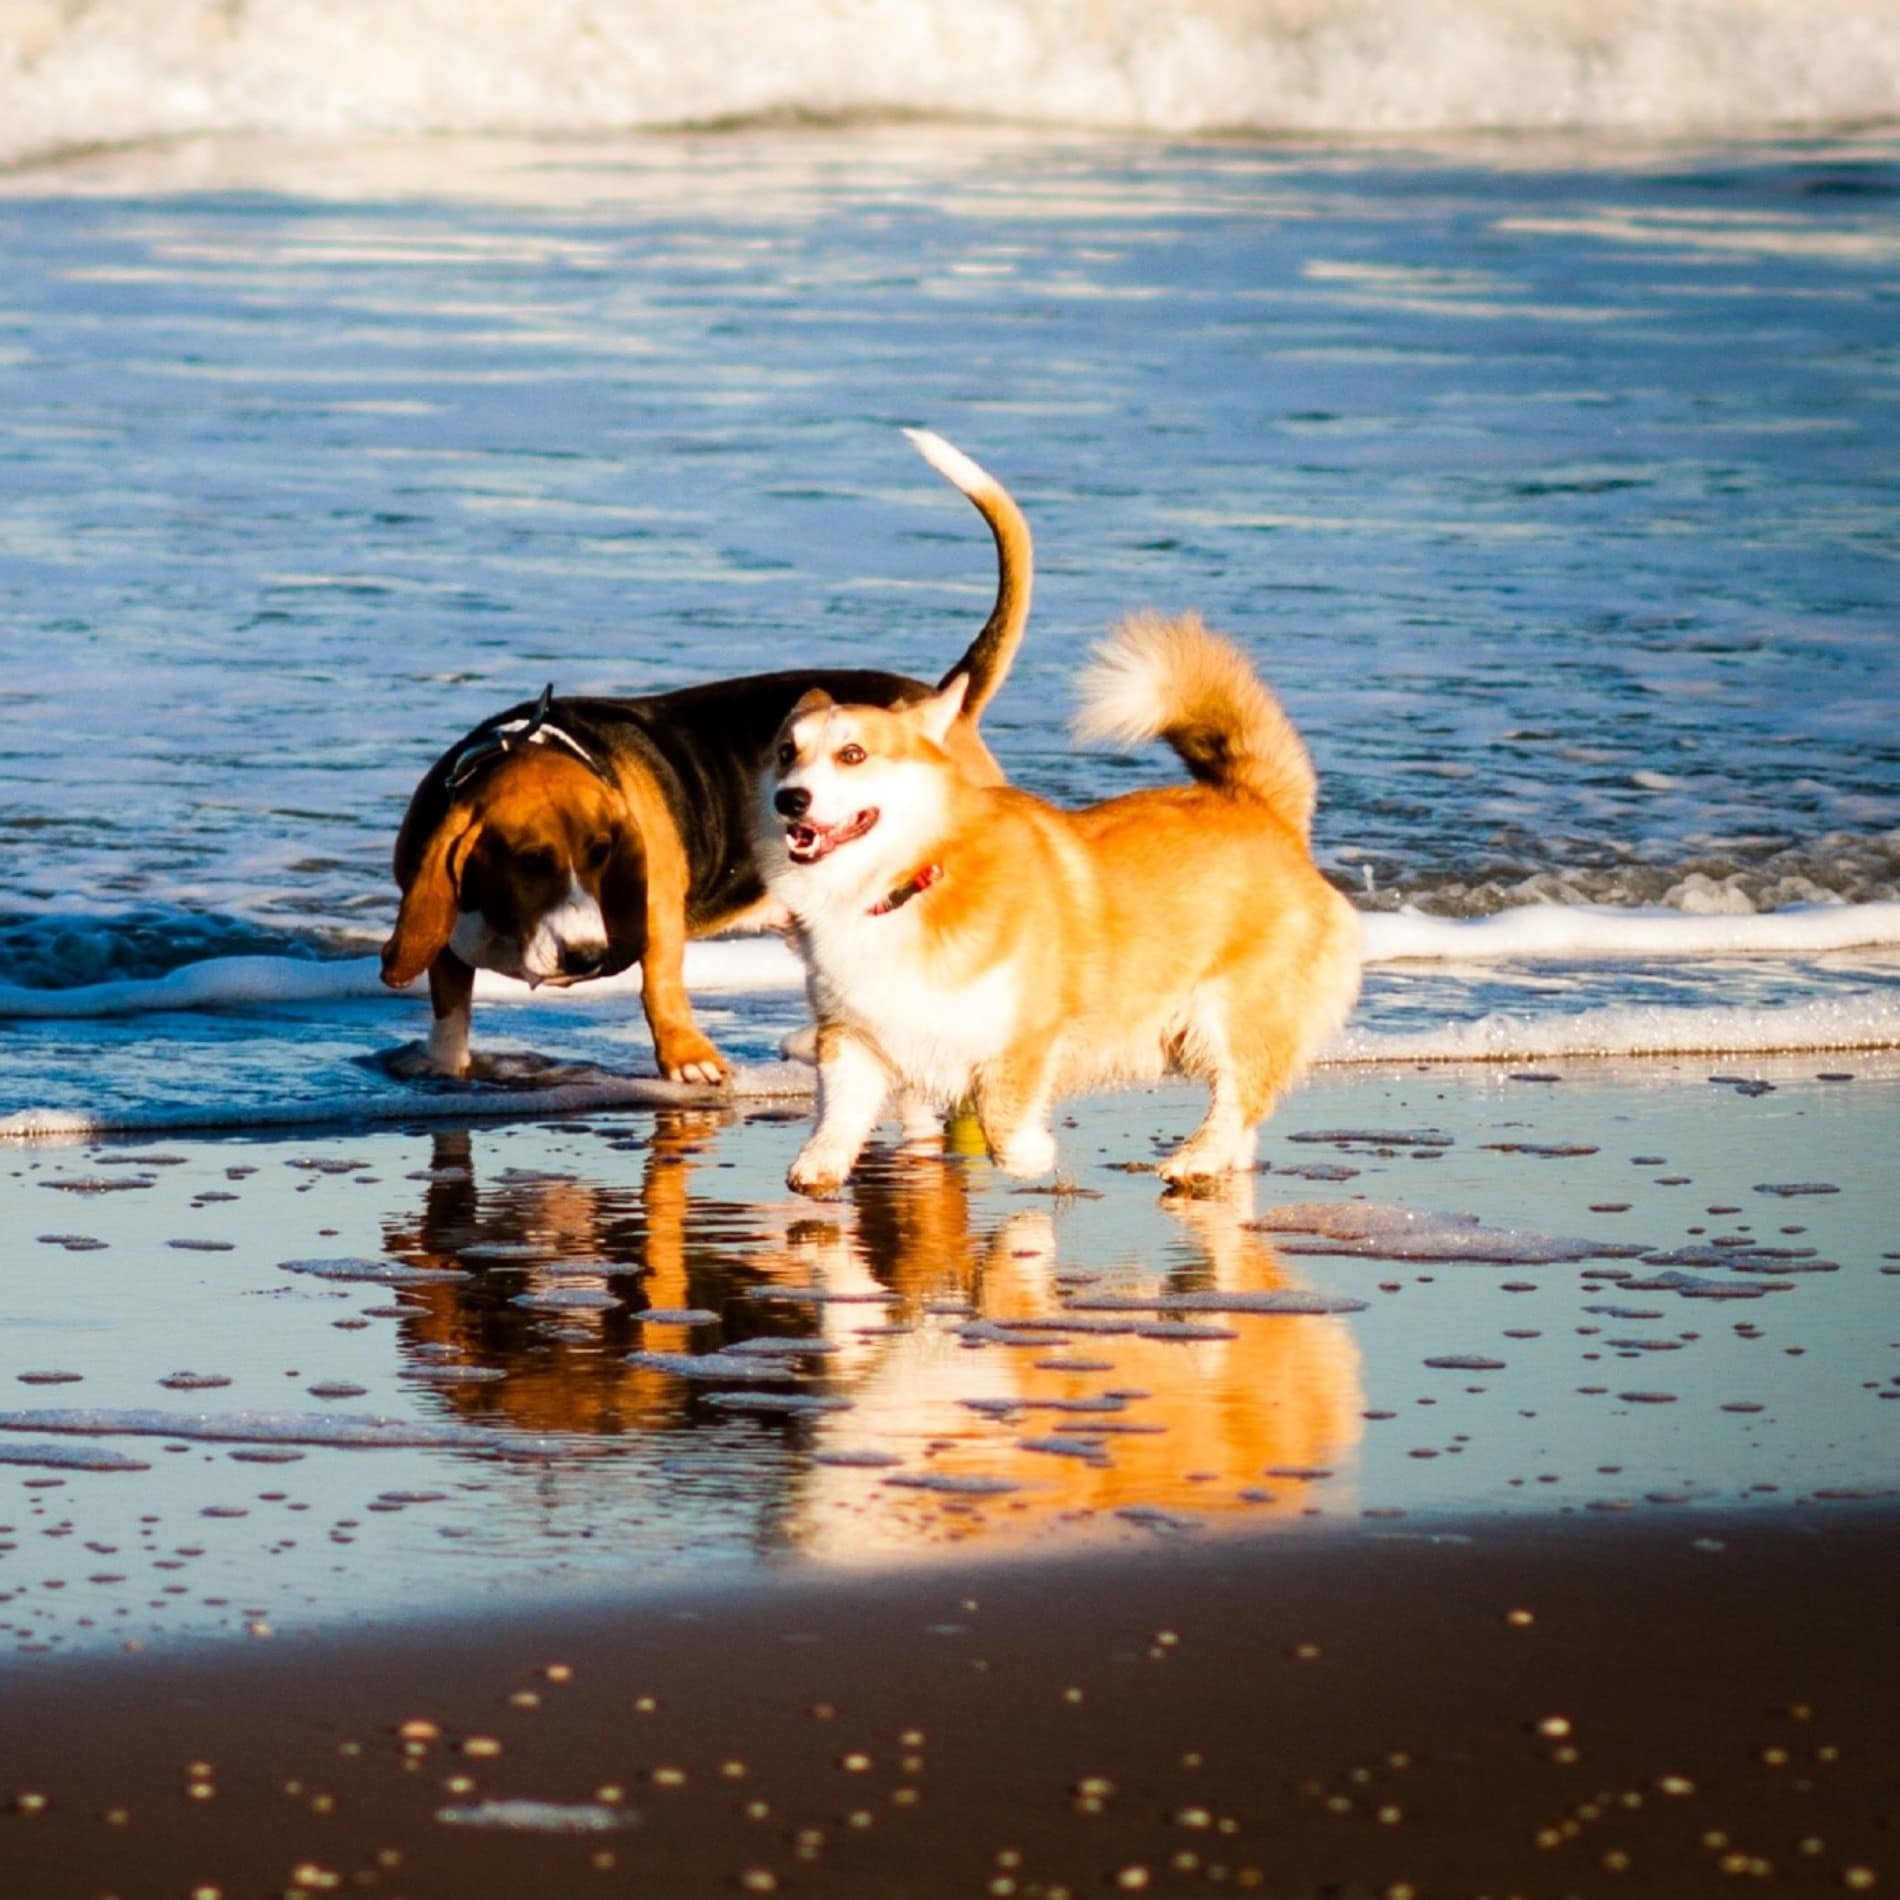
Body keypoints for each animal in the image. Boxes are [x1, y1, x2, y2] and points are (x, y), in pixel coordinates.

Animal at [383, 431, 1033, 1086]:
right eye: (528, 861)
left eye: (600, 853)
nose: (586, 957)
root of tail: (936, 706)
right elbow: (449, 1005)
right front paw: (443, 1065)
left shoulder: (657, 913)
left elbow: (660, 985)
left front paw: (687, 1058)